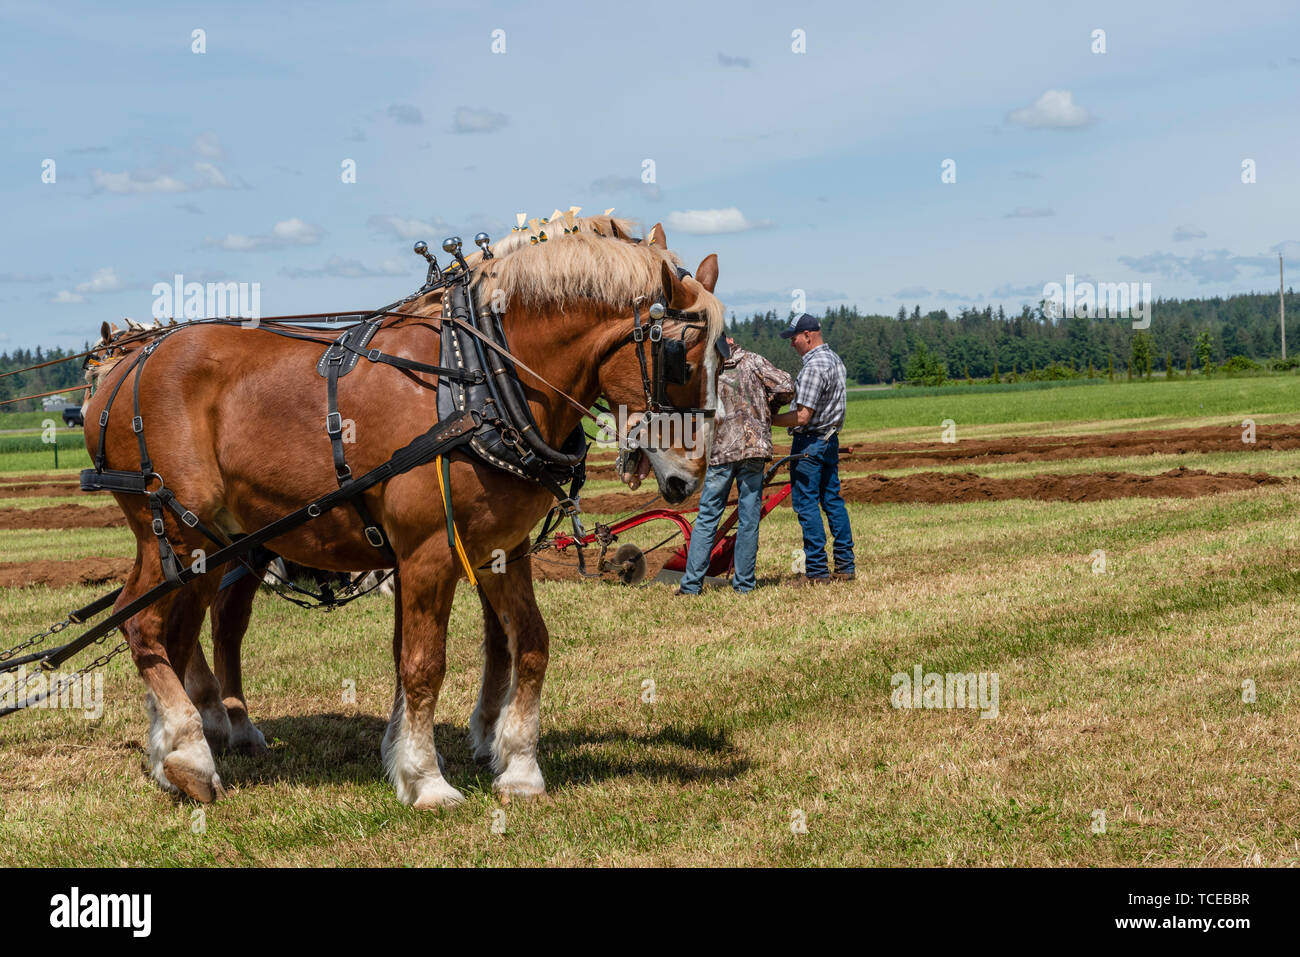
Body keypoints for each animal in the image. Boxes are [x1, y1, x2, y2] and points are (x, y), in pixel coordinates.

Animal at [86, 218, 728, 806]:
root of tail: (122, 370)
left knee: (178, 632)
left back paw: (176, 748)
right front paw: (426, 778)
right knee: (140, 623)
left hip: (213, 545)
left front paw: (518, 768)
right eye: (680, 357)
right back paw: (191, 755)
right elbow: (423, 663)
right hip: (177, 530)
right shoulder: (427, 551)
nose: (690, 476)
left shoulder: (502, 548)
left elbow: (527, 644)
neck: (479, 378)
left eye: (723, 360)